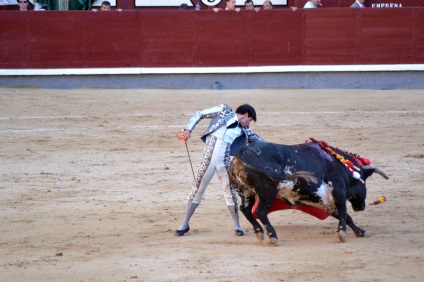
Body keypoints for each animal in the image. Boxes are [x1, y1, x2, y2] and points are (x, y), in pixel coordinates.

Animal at [229, 142, 388, 246]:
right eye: (364, 183)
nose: (361, 207)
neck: (343, 167)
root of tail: (241, 152)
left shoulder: (323, 202)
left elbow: (345, 216)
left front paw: (360, 232)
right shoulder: (338, 190)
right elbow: (344, 212)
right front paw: (342, 234)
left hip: (245, 192)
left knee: (245, 209)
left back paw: (259, 232)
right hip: (267, 191)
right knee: (260, 211)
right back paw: (272, 236)